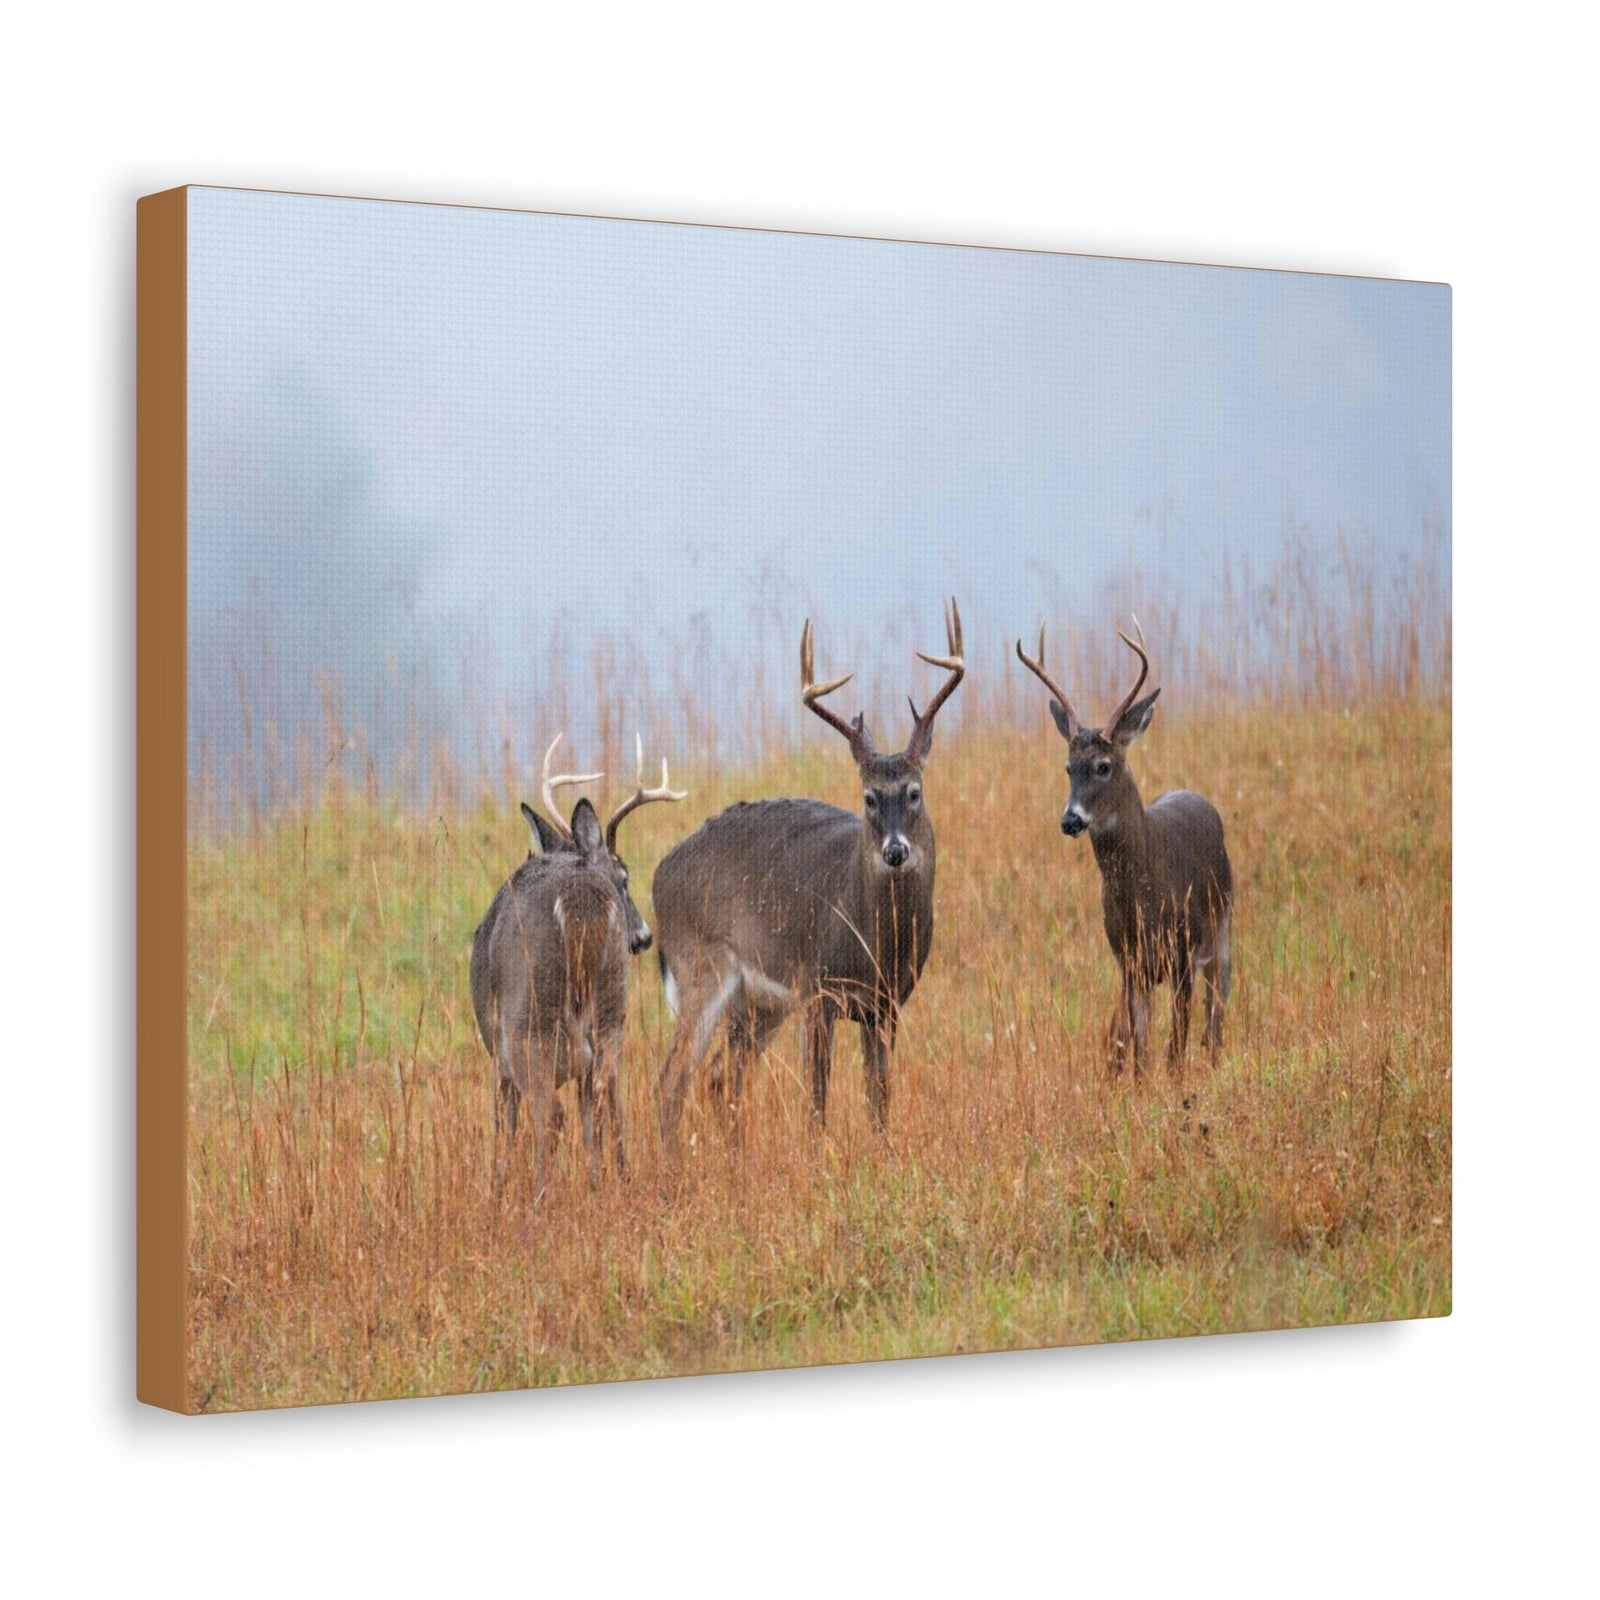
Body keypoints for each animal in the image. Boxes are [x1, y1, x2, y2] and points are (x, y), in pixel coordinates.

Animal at [474, 735, 685, 1198]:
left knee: (551, 1115)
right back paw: (613, 1183)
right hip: (611, 1006)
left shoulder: (497, 1054)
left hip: (529, 1017)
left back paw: (540, 1199)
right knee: (606, 1093)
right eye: (624, 879)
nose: (643, 937)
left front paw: (496, 1194)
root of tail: (577, 896)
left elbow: (504, 1126)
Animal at [652, 600, 964, 1157]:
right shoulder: (818, 991)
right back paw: (671, 1169)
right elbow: (816, 1096)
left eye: (914, 791)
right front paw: (819, 1160)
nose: (895, 851)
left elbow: (878, 1093)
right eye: (868, 797)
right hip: (702, 968)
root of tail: (657, 876)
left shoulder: (886, 1004)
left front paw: (882, 1155)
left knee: (719, 1078)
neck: (875, 939)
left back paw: (736, 1159)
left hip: (757, 1005)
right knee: (672, 1080)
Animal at [1016, 618, 1233, 1076]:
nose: (1070, 820)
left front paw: (1177, 1081)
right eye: (1067, 767)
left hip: (1223, 926)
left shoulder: (1182, 951)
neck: (1142, 901)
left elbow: (1176, 1042)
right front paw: (1139, 1083)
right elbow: (1139, 1043)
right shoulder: (1127, 959)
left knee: (1217, 1004)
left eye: (1104, 766)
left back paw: (1214, 1057)